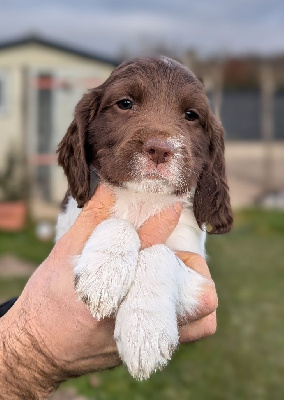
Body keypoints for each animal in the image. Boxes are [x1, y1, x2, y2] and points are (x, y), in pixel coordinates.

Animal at [55, 55, 233, 378]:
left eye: (191, 115)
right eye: (125, 103)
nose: (160, 149)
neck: (142, 199)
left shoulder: (200, 275)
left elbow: (159, 253)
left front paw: (145, 331)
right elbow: (119, 223)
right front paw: (104, 273)